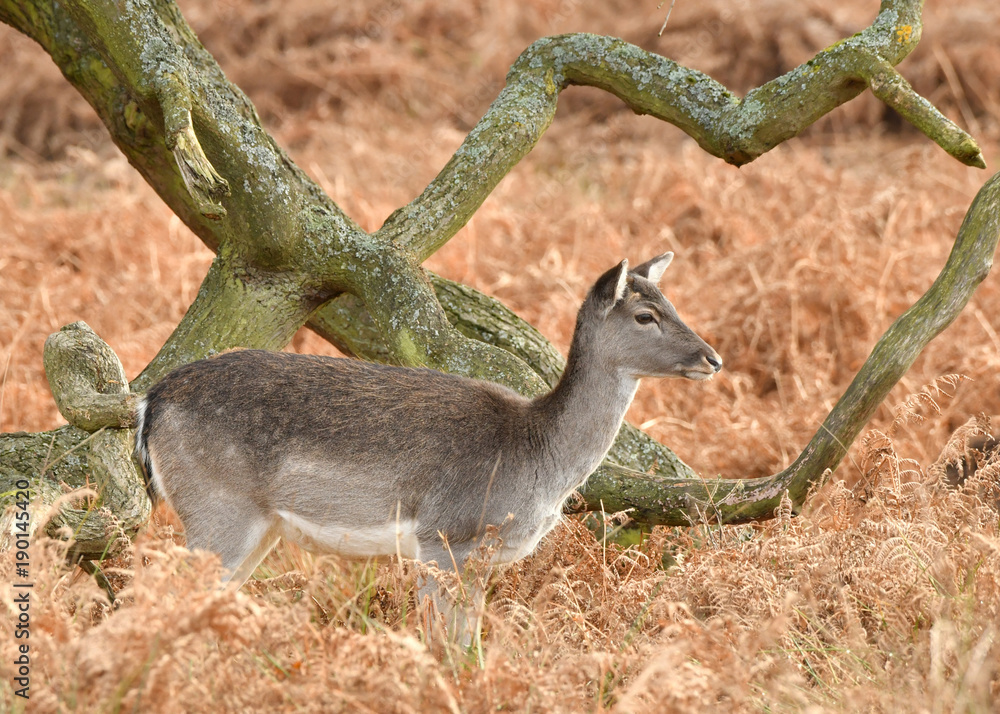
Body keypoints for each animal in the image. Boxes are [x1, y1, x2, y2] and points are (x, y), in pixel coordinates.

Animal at [134, 252, 721, 643]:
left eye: (671, 302)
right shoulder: (446, 536)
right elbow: (448, 646)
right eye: (645, 315)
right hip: (217, 509)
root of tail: (150, 402)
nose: (712, 357)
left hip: (258, 529)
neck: (538, 458)